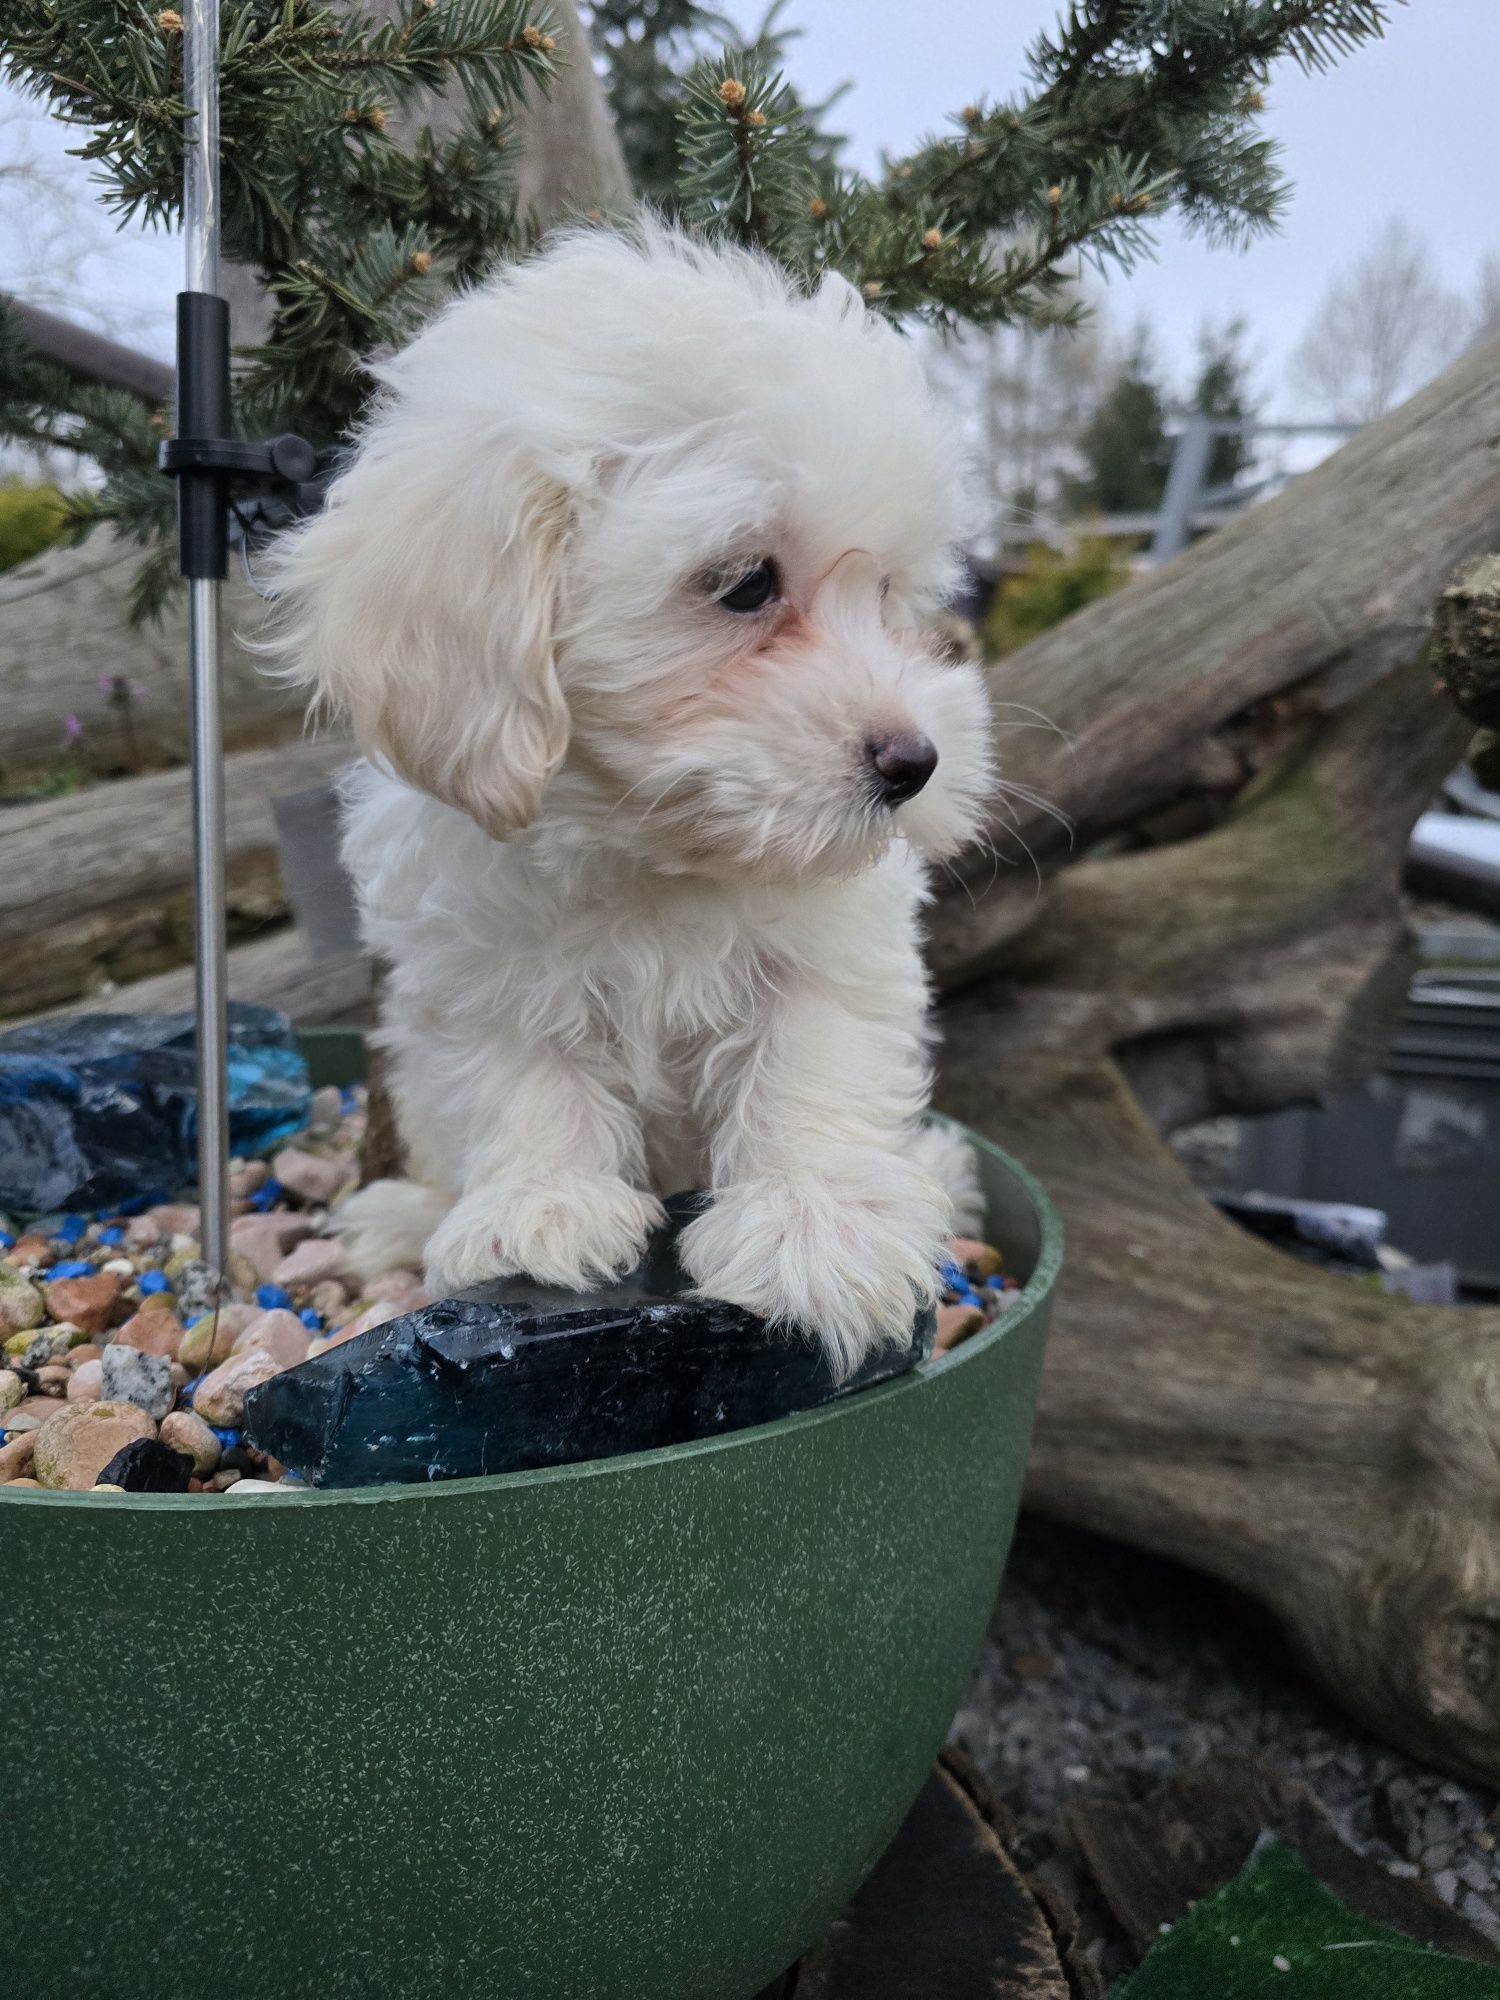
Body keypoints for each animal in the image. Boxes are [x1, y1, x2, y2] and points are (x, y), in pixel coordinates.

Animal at [270, 219, 1000, 1376]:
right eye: (744, 583)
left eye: (887, 593)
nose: (915, 762)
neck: (652, 849)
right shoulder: (479, 964)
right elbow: (519, 1074)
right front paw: (538, 1207)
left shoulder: (830, 949)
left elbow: (811, 1059)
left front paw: (818, 1227)